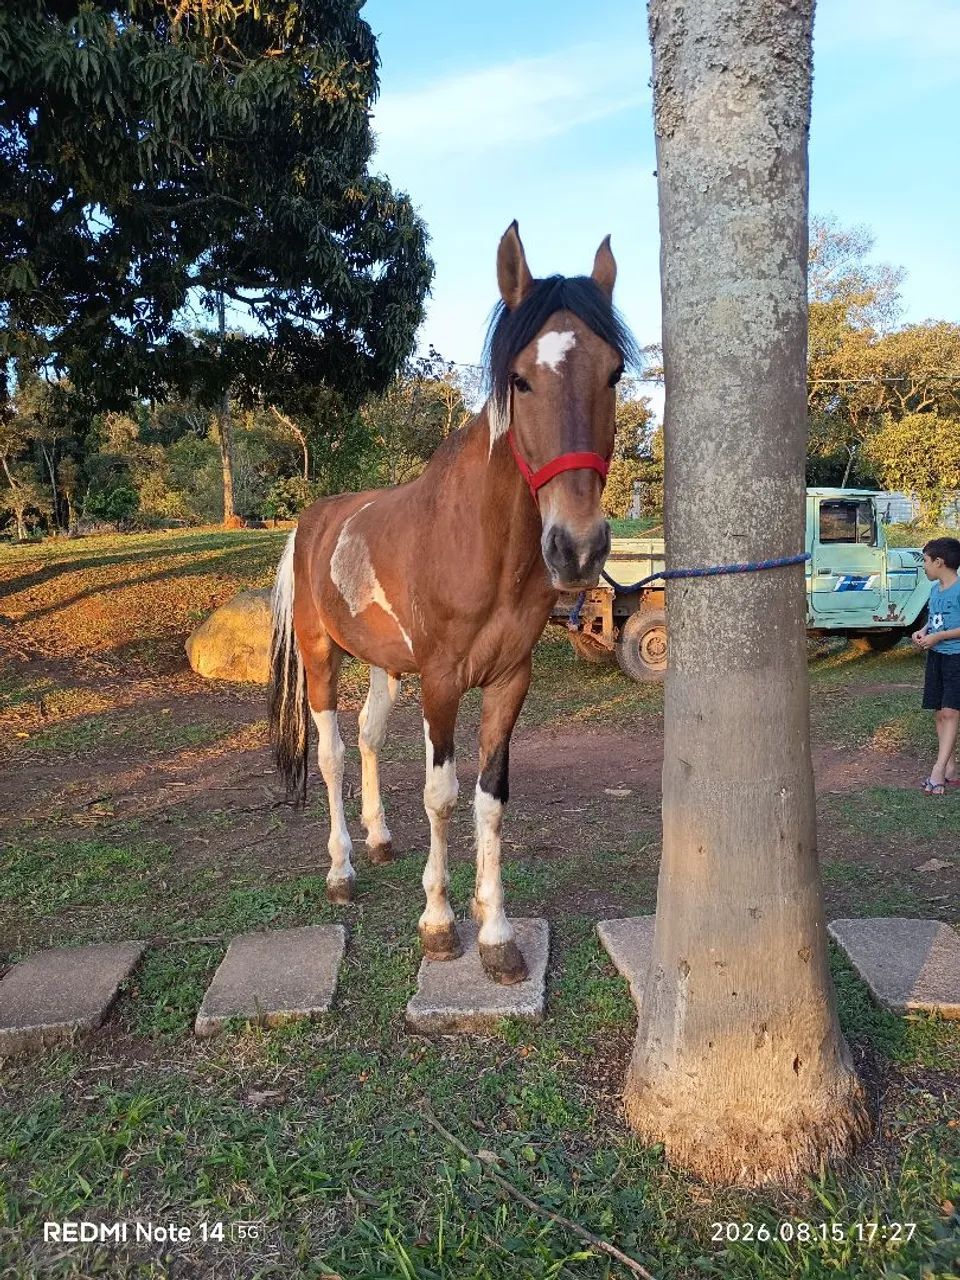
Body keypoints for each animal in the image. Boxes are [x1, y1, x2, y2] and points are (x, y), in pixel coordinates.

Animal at [267, 222, 638, 985]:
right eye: (520, 379)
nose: (578, 547)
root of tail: (309, 524)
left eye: (614, 373)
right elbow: (440, 796)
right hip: (322, 660)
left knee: (370, 737)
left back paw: (378, 839)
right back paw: (342, 869)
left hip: (383, 664)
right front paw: (439, 925)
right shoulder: (441, 683)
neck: (482, 547)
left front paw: (495, 933)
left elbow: (490, 800)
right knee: (333, 753)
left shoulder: (508, 681)